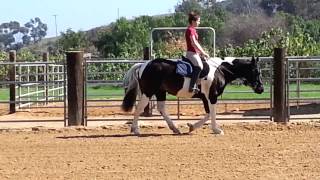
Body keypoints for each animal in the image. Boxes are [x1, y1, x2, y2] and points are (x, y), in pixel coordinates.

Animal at [121, 56, 264, 135]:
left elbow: (208, 114)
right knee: (140, 108)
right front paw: (217, 130)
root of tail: (143, 64)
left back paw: (175, 128)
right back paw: (135, 129)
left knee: (161, 109)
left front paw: (192, 127)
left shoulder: (206, 98)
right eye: (256, 71)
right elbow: (212, 113)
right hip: (148, 92)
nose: (261, 88)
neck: (220, 70)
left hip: (160, 92)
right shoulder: (211, 96)